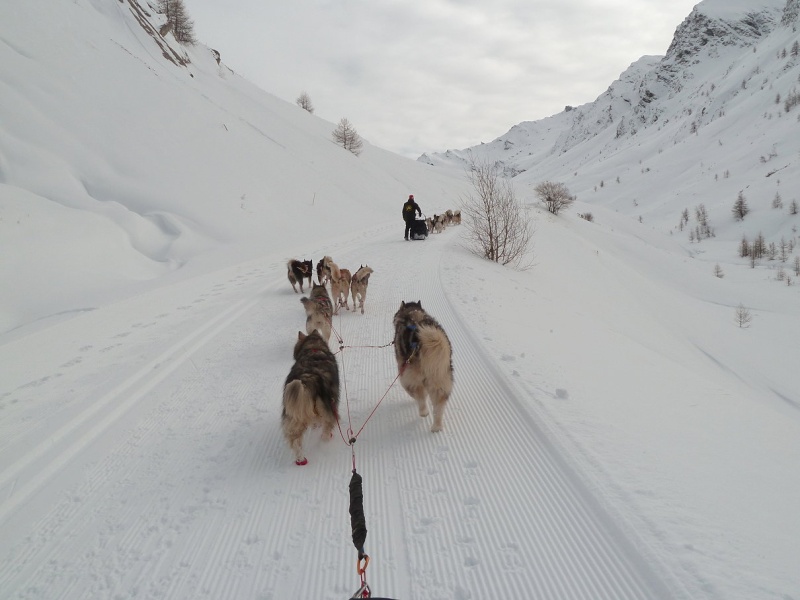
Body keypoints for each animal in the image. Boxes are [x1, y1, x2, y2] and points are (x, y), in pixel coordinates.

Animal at [280, 328, 340, 464]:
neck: (313, 349)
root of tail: (306, 380)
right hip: (326, 409)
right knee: (327, 426)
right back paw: (326, 439)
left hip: (294, 416)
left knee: (295, 441)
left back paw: (300, 459)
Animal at [392, 300, 454, 432]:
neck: (412, 313)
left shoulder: (404, 373)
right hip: (440, 377)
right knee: (439, 405)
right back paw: (437, 426)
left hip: (410, 375)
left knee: (419, 395)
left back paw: (423, 412)